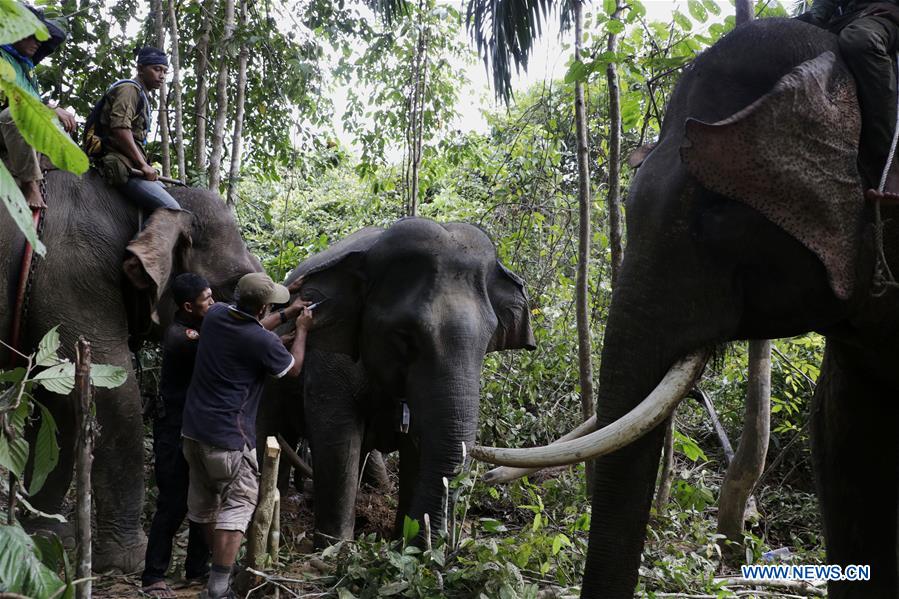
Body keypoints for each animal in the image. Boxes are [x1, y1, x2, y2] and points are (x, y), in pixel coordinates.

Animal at [0, 170, 261, 572]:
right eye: (235, 285)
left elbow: (58, 404)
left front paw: (47, 536)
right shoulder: (73, 277)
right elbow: (113, 395)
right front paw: (127, 562)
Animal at [258, 217, 535, 546]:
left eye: (488, 336)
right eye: (405, 335)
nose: (426, 538)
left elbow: (419, 445)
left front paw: (403, 542)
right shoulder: (327, 363)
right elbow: (337, 439)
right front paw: (335, 547)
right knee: (274, 429)